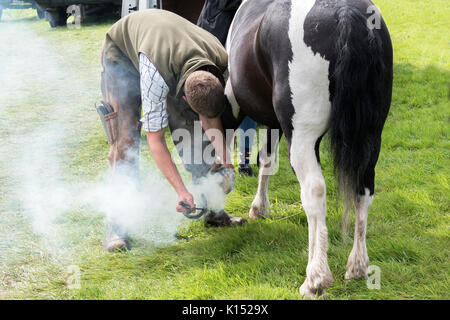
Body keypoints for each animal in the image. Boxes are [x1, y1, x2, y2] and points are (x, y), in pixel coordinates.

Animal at [223, 0, 392, 298]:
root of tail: (346, 12)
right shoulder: (275, 122)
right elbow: (267, 158)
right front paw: (259, 208)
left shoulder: (233, 103)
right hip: (371, 138)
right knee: (364, 189)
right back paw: (357, 267)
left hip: (303, 138)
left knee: (314, 192)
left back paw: (316, 278)